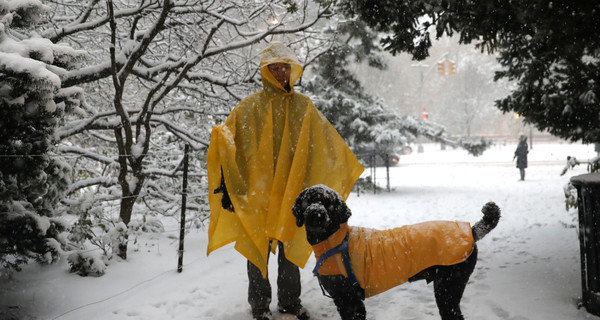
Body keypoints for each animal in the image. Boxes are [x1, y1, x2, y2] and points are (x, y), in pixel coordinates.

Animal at [292, 185, 502, 320]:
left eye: (328, 202)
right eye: (307, 201)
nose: (316, 213)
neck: (334, 239)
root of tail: (471, 231)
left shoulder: (351, 302)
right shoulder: (345, 301)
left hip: (448, 288)